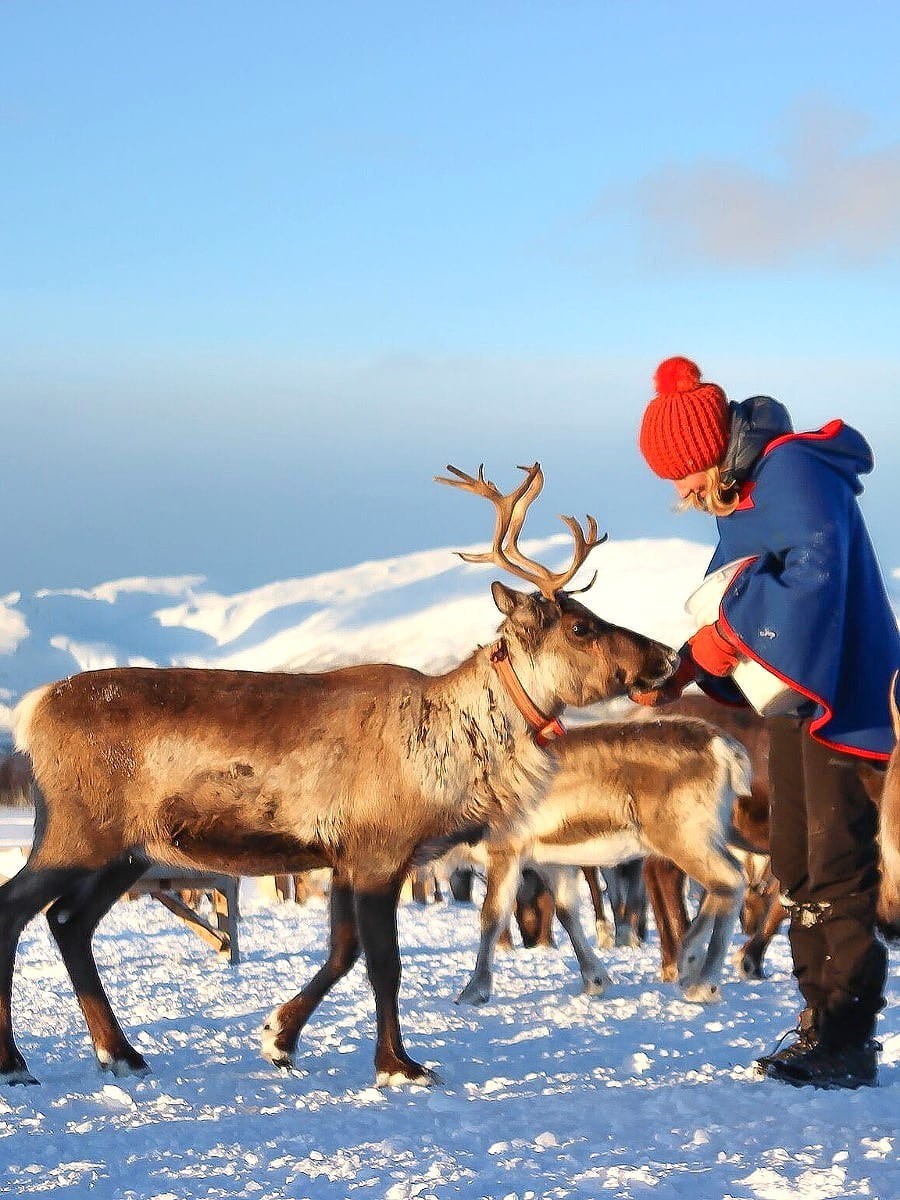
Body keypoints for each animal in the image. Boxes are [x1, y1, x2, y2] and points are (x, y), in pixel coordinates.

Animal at [2, 463, 676, 1087]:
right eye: (581, 625)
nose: (666, 656)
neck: (451, 742)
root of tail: (30, 710)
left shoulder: (345, 857)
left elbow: (343, 951)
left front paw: (279, 1037)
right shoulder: (380, 852)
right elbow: (383, 962)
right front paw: (398, 1065)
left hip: (129, 851)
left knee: (68, 922)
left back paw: (121, 1053)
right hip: (76, 833)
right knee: (16, 910)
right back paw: (17, 1063)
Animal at [448, 713, 751, 1007]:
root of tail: (724, 747)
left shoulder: (505, 850)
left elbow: (492, 915)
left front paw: (473, 991)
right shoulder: (551, 862)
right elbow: (567, 911)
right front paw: (595, 980)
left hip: (682, 836)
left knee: (730, 881)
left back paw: (703, 983)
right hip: (706, 837)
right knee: (727, 881)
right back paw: (689, 962)